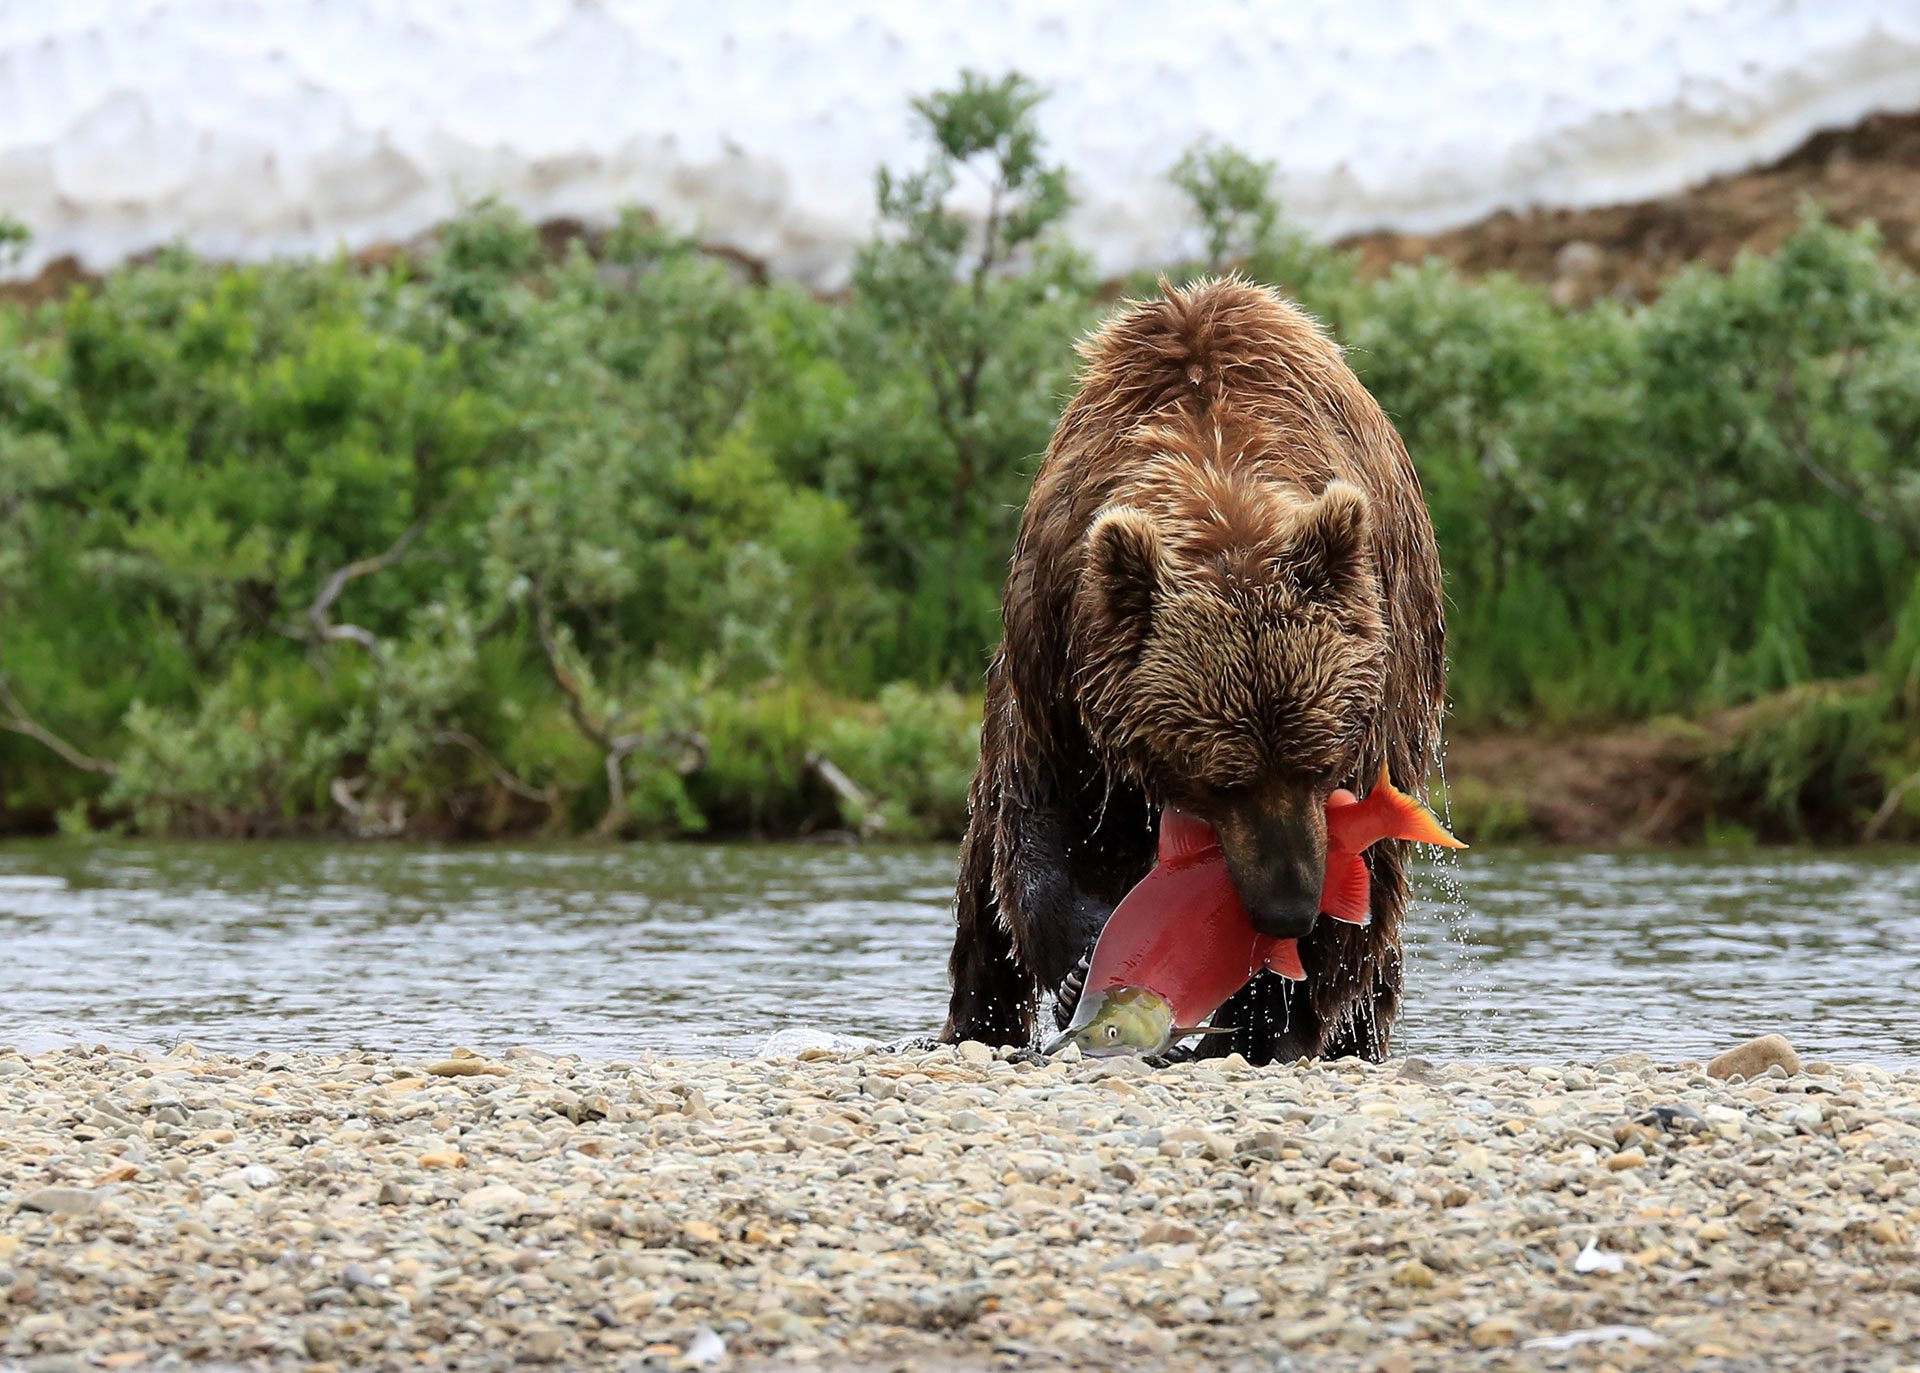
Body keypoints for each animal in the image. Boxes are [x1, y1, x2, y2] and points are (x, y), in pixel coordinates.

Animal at [940, 277, 1445, 1064]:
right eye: (1221, 779)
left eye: (1318, 763)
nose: (1288, 908)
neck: (1217, 467)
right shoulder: (1056, 659)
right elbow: (1040, 818)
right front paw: (1082, 959)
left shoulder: (1376, 689)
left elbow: (1355, 894)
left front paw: (1271, 1014)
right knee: (983, 888)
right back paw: (977, 1023)